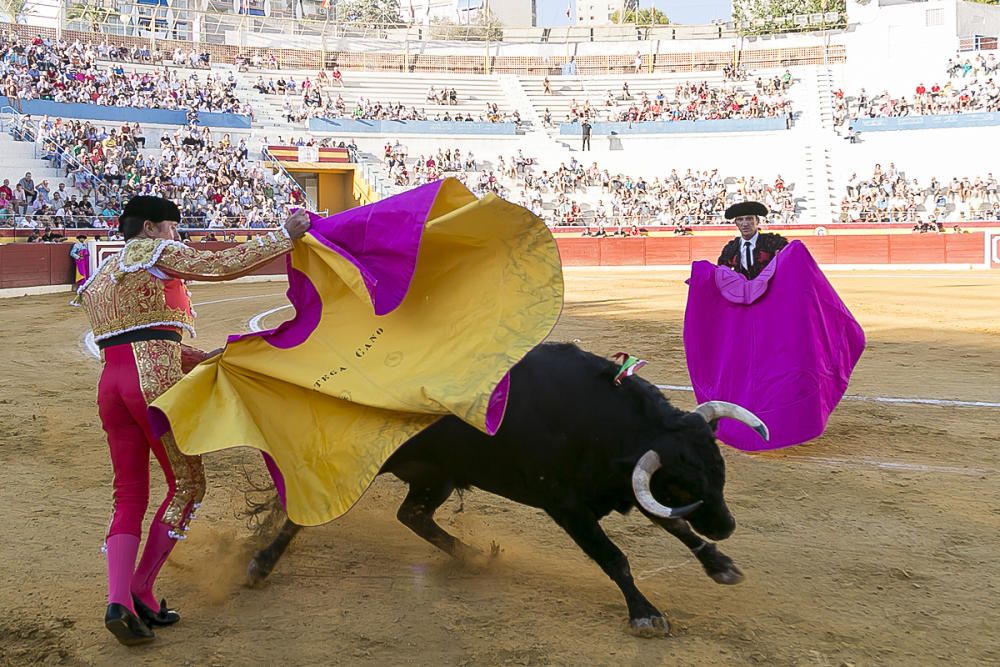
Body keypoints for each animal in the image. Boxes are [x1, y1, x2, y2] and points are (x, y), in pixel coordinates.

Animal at [248, 344, 764, 636]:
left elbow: (676, 525)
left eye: (719, 469)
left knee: (412, 515)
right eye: (683, 482)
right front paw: (645, 614)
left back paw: (474, 555)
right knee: (305, 513)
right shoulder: (568, 506)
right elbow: (615, 557)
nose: (727, 526)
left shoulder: (629, 485)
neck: (604, 422)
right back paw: (259, 565)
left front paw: (720, 565)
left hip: (436, 476)